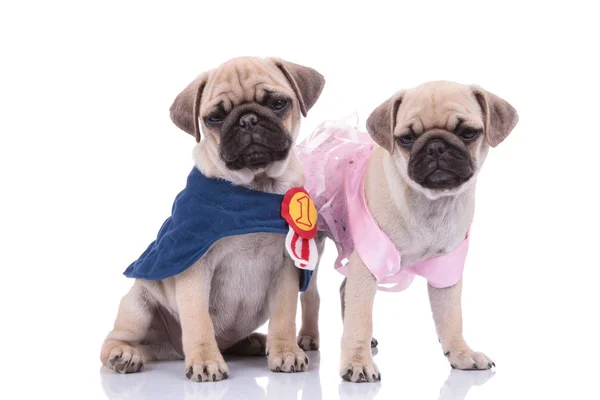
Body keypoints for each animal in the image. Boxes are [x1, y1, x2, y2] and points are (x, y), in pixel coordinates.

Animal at [99, 56, 324, 382]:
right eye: (215, 118)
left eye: (279, 103)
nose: (248, 120)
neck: (252, 191)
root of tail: (170, 350)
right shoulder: (195, 269)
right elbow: (198, 319)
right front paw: (205, 359)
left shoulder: (285, 270)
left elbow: (284, 316)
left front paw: (285, 351)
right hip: (138, 305)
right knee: (116, 338)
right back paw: (124, 354)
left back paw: (255, 342)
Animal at [298, 80, 516, 382]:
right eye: (406, 139)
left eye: (468, 133)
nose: (435, 147)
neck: (430, 203)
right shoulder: (369, 263)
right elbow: (360, 316)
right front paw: (357, 362)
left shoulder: (446, 270)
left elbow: (452, 317)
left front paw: (461, 353)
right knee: (312, 295)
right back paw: (309, 337)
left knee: (344, 289)